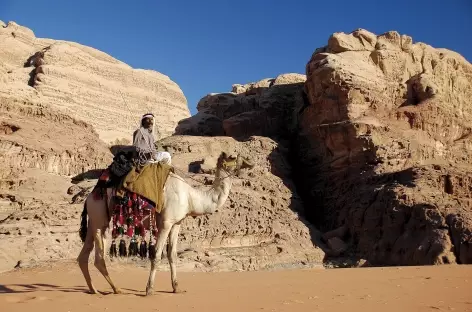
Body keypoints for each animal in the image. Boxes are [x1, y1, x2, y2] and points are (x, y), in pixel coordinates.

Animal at [76, 152, 254, 296]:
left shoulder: (177, 223)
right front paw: (149, 289)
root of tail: (88, 198)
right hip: (100, 219)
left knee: (83, 257)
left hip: (93, 221)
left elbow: (172, 254)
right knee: (99, 258)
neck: (191, 197)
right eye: (233, 156)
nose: (250, 162)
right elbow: (156, 254)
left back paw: (94, 290)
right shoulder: (166, 222)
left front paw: (176, 288)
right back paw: (116, 289)